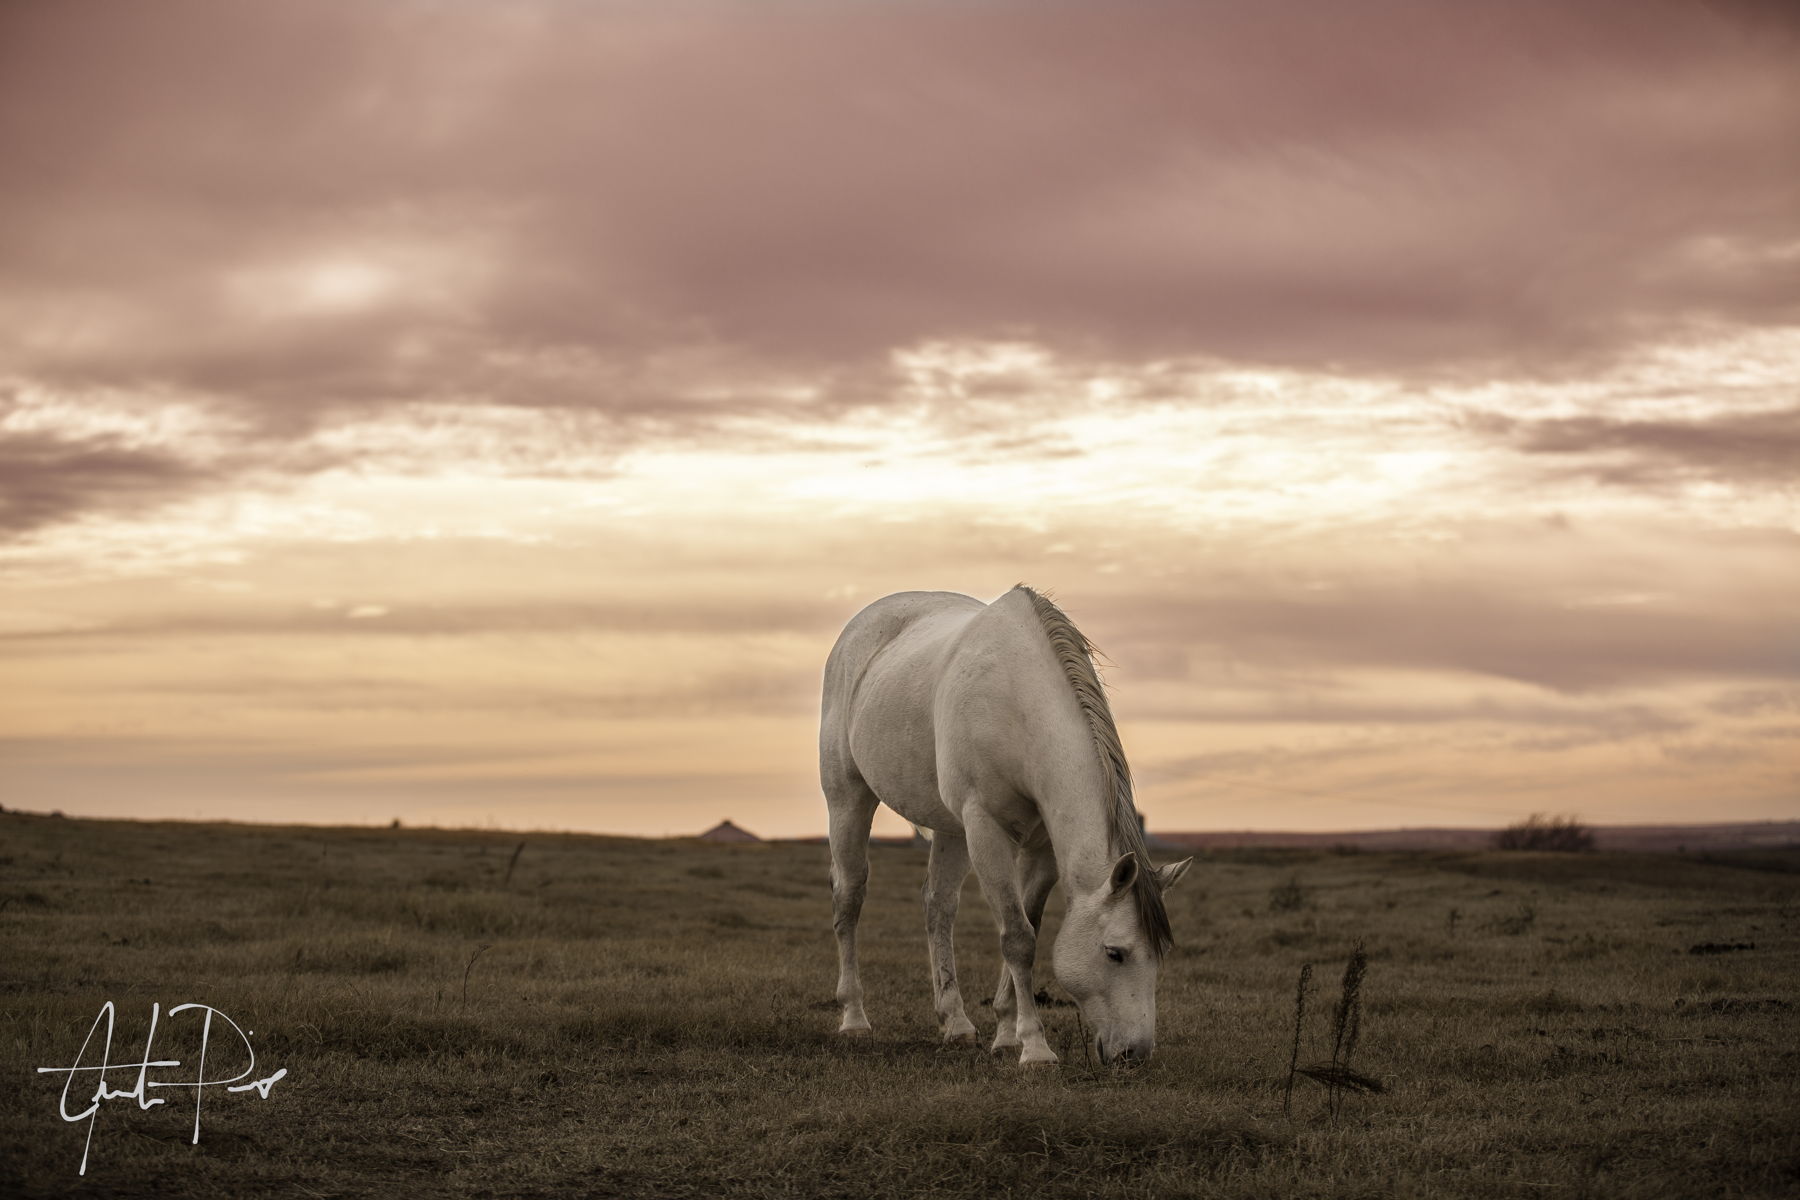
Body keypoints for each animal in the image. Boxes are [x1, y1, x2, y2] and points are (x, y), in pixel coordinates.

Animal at [820, 586, 1188, 1065]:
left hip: (951, 829)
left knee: (938, 906)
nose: (1136, 1053)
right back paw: (854, 1019)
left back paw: (956, 1023)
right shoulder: (985, 828)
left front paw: (1006, 1031)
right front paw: (1034, 1047)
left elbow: (1028, 922)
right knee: (850, 897)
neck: (1017, 702)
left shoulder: (1041, 846)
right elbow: (1017, 937)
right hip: (848, 799)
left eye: (1161, 953)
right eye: (1115, 953)